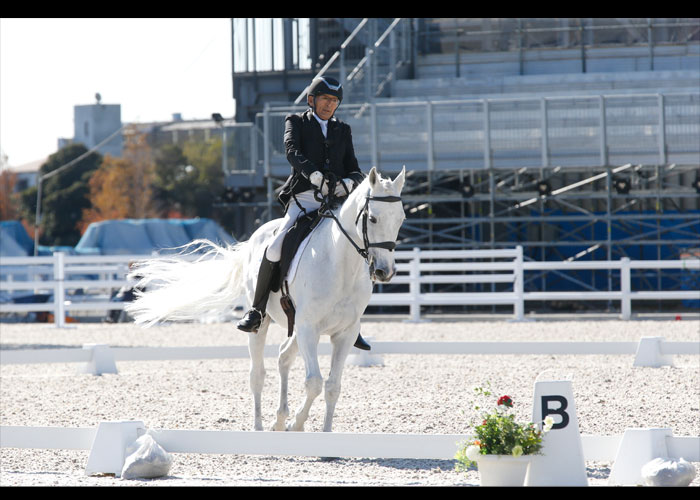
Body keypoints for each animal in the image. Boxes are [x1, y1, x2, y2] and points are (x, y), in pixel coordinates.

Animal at [127, 166, 404, 432]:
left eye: (401, 219)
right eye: (372, 218)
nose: (385, 272)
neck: (341, 264)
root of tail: (256, 235)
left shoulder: (345, 333)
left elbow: (332, 386)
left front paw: (320, 432)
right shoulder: (308, 328)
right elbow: (314, 383)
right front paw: (296, 424)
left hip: (296, 327)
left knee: (284, 357)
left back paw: (279, 420)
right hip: (264, 322)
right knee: (257, 374)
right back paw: (260, 426)